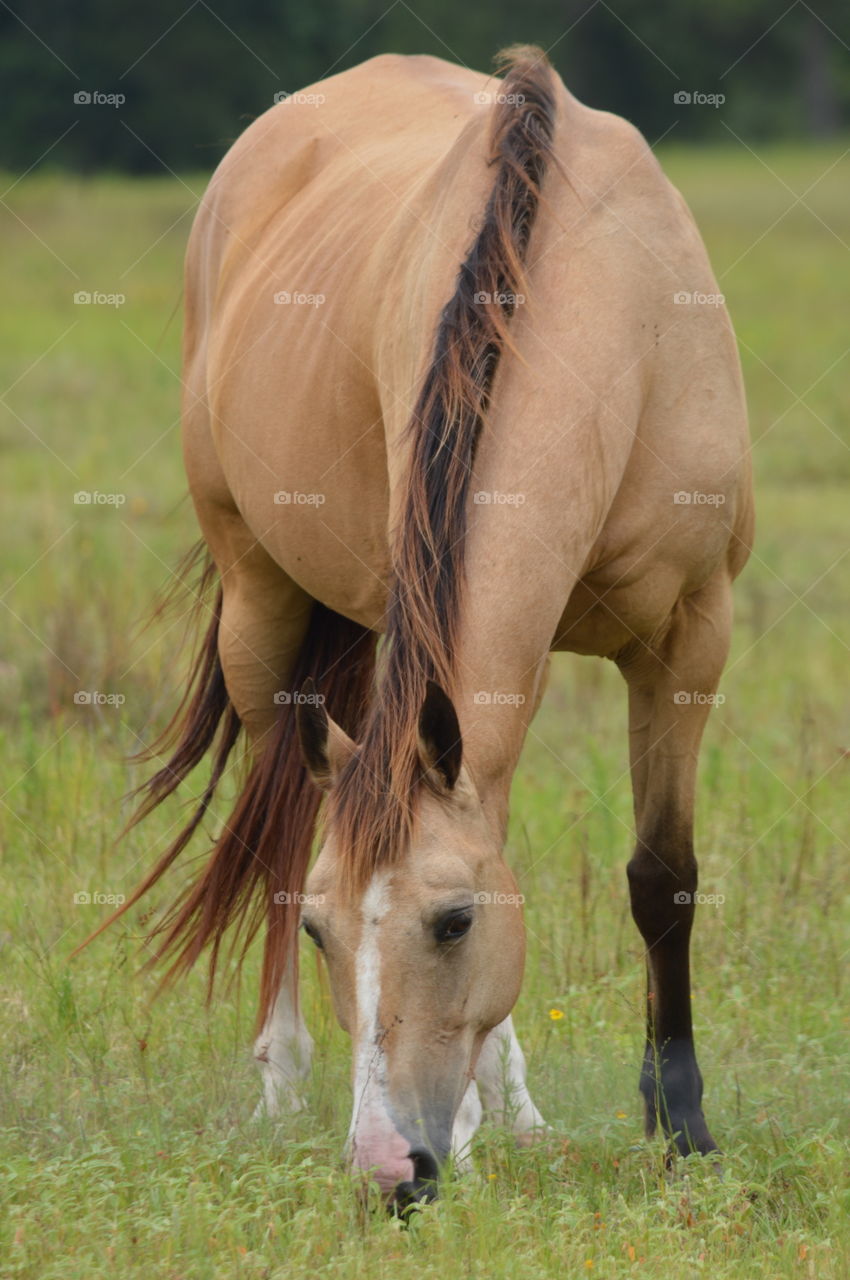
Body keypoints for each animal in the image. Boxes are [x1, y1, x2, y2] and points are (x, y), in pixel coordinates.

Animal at [92, 45, 752, 1206]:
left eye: (455, 921)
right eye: (322, 928)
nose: (386, 1165)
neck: (612, 318)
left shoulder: (690, 635)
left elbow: (660, 877)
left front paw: (682, 1131)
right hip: (260, 603)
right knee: (275, 816)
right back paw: (285, 1079)